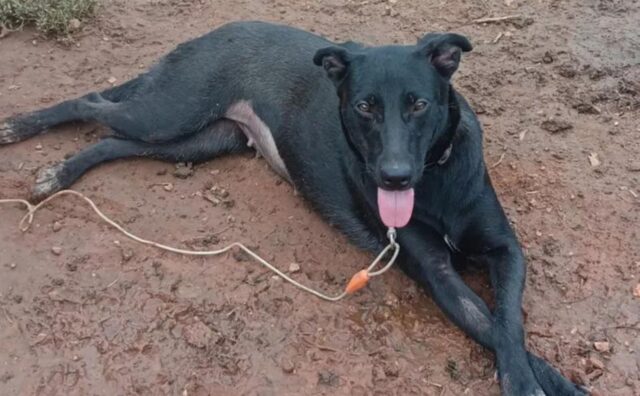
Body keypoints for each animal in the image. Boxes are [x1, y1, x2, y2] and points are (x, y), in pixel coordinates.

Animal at [1, 22, 584, 396]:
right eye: (364, 106)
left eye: (419, 104)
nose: (394, 177)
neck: (435, 178)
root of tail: (211, 32)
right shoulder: (434, 270)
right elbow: (491, 326)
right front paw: (534, 382)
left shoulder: (505, 250)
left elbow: (507, 322)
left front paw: (545, 380)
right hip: (172, 113)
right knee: (93, 103)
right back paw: (24, 131)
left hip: (198, 140)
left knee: (112, 139)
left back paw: (61, 172)